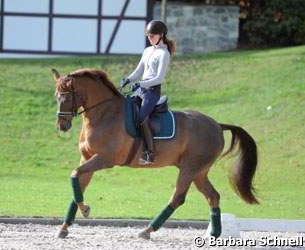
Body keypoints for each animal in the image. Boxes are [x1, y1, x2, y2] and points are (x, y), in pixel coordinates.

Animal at [52, 68, 258, 238]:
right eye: (56, 97)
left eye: (67, 98)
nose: (62, 126)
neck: (104, 113)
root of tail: (217, 125)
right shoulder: (86, 158)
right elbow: (77, 184)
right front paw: (65, 227)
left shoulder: (104, 159)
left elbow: (74, 175)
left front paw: (85, 210)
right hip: (199, 172)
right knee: (212, 196)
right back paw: (214, 233)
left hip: (190, 169)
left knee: (177, 198)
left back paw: (147, 230)